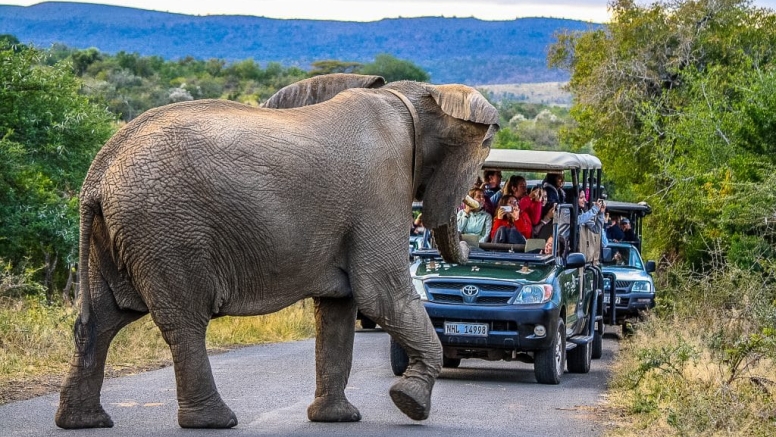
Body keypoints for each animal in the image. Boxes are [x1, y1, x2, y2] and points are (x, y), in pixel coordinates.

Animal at [56, 73, 504, 428]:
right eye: (485, 147)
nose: (476, 243)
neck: (417, 95)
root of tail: (100, 169)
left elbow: (340, 308)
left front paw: (337, 419)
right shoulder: (382, 188)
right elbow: (382, 293)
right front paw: (409, 403)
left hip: (119, 234)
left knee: (104, 318)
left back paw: (84, 422)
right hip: (167, 229)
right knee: (183, 320)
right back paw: (215, 421)